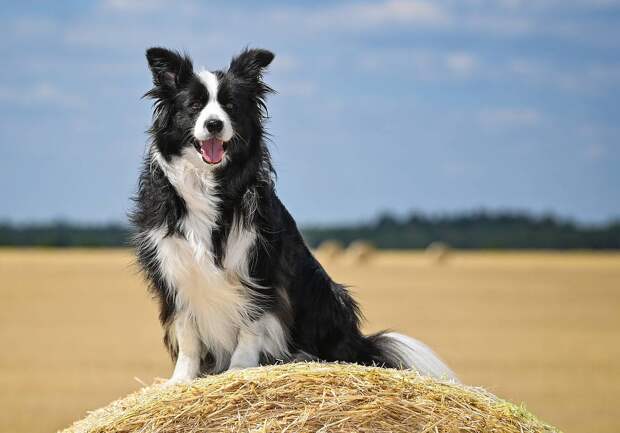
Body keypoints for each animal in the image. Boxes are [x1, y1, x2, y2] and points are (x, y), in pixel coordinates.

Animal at [131, 47, 458, 384]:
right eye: (194, 105)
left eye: (230, 106)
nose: (214, 124)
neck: (210, 184)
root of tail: (360, 343)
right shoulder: (175, 271)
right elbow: (188, 335)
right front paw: (180, 380)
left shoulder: (260, 267)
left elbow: (251, 322)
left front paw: (240, 368)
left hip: (327, 296)